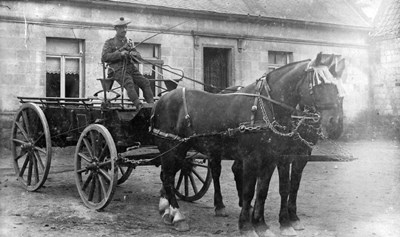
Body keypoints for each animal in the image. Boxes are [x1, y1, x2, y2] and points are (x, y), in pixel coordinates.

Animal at [149, 52, 340, 235]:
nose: (334, 121)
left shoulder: (272, 159)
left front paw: (262, 225)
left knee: (169, 176)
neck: (267, 107)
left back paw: (168, 211)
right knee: (168, 177)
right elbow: (250, 191)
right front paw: (247, 226)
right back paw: (178, 216)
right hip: (171, 149)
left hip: (182, 150)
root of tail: (161, 100)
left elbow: (263, 191)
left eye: (335, 86)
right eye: (319, 85)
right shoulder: (253, 159)